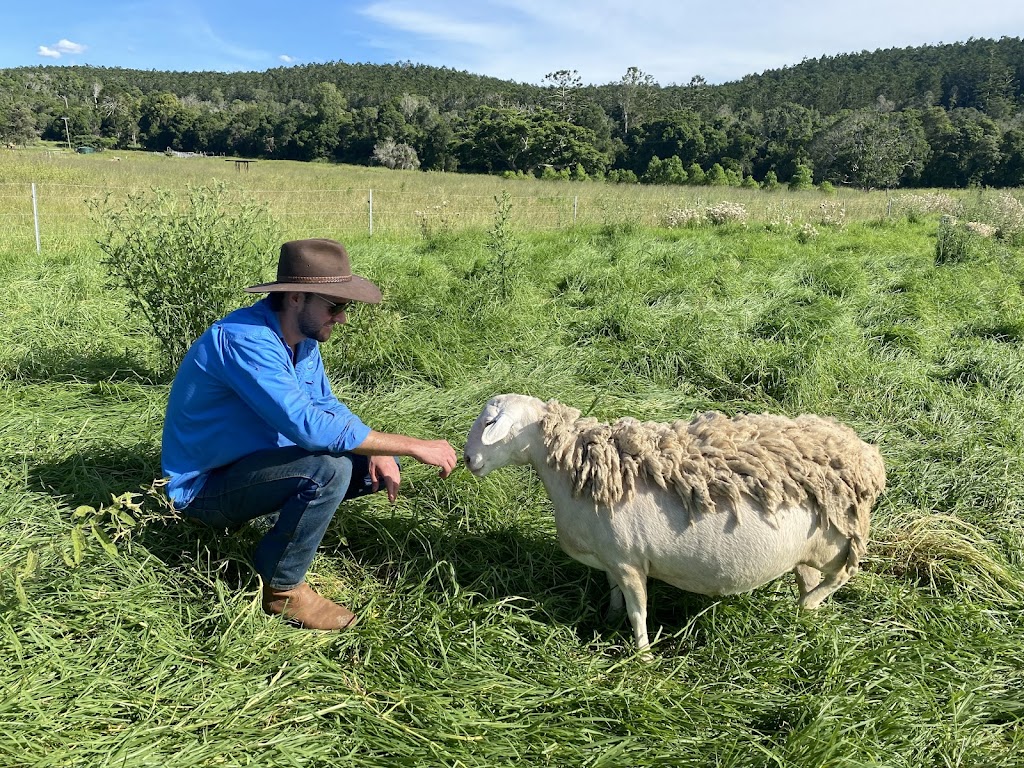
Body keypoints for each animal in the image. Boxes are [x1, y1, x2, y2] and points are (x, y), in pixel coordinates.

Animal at [466, 397, 888, 655]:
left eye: (489, 422)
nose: (468, 459)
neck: (578, 471)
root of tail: (864, 453)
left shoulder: (631, 562)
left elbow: (639, 612)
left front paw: (642, 657)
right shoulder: (612, 557)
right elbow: (614, 592)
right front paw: (609, 619)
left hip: (840, 538)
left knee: (844, 573)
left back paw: (812, 603)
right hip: (809, 546)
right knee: (809, 576)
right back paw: (805, 611)